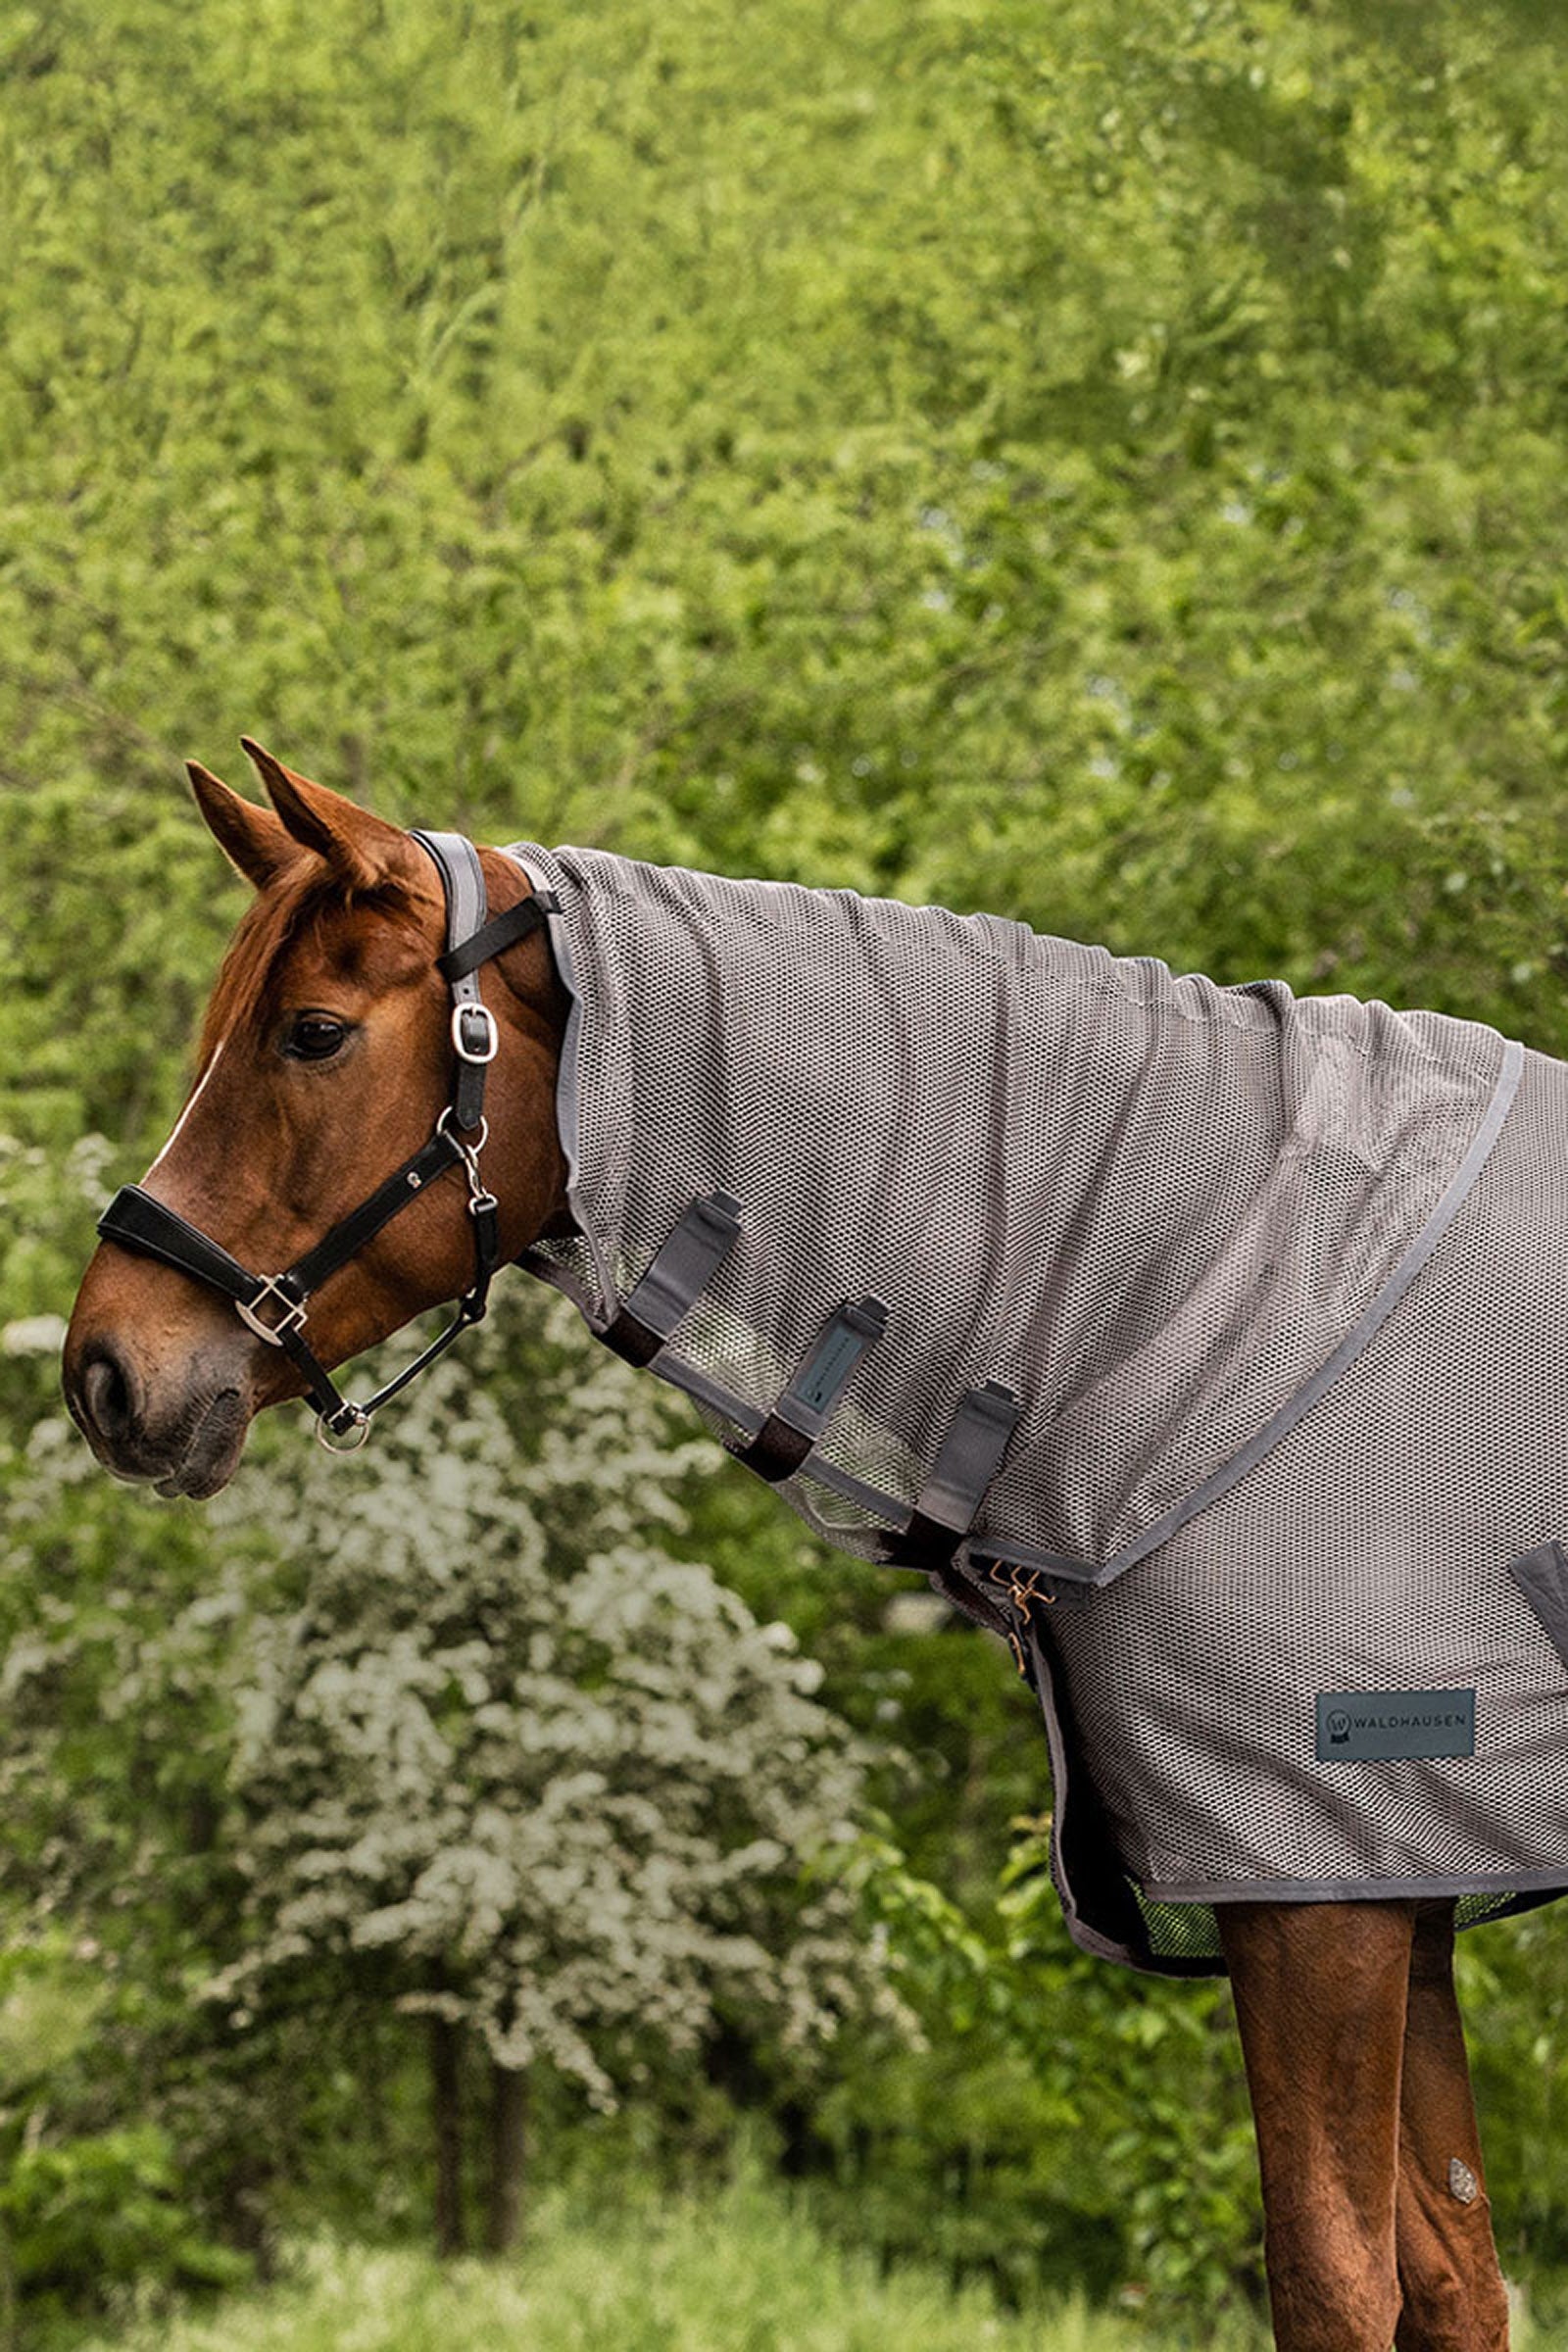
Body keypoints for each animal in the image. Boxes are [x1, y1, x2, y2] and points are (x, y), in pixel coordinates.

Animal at [62, 744, 1516, 2352]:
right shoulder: (1393, 1881)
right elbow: (1453, 2274)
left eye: (311, 1034)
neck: (1229, 1300)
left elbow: (1338, 2278)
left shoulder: (1322, 1889)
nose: (104, 1372)